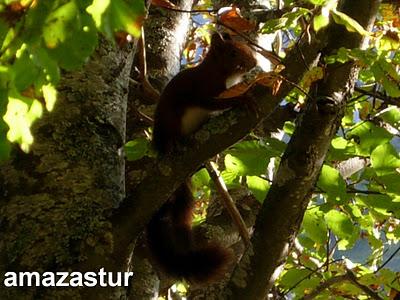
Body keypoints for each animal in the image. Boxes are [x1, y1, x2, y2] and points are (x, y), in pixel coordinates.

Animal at [147, 32, 256, 284]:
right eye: (233, 53)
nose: (254, 63)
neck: (218, 72)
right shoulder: (203, 89)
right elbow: (214, 102)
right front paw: (244, 98)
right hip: (169, 122)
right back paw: (174, 144)